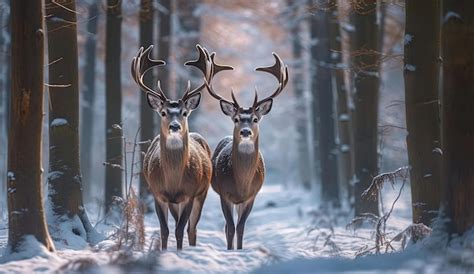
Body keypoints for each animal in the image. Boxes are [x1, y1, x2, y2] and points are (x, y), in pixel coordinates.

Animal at [131, 45, 218, 250]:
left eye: (184, 113)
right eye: (163, 112)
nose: (175, 126)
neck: (173, 181)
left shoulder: (190, 193)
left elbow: (180, 229)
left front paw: (179, 252)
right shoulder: (157, 193)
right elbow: (165, 230)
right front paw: (163, 251)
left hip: (202, 192)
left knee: (192, 228)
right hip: (174, 202)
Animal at [205, 50, 288, 249]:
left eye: (255, 119)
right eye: (236, 119)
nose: (245, 131)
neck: (241, 184)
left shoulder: (252, 195)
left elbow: (241, 227)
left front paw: (240, 249)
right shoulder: (224, 194)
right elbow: (230, 227)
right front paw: (230, 250)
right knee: (227, 226)